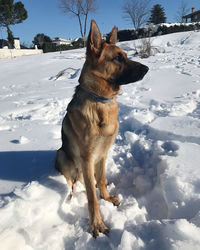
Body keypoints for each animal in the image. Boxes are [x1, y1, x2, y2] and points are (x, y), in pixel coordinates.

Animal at [54, 20, 148, 238]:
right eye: (118, 58)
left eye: (126, 55)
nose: (147, 68)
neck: (101, 101)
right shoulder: (87, 157)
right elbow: (91, 197)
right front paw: (96, 224)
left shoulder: (103, 153)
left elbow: (103, 180)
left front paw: (107, 197)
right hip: (62, 155)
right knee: (71, 182)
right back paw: (69, 196)